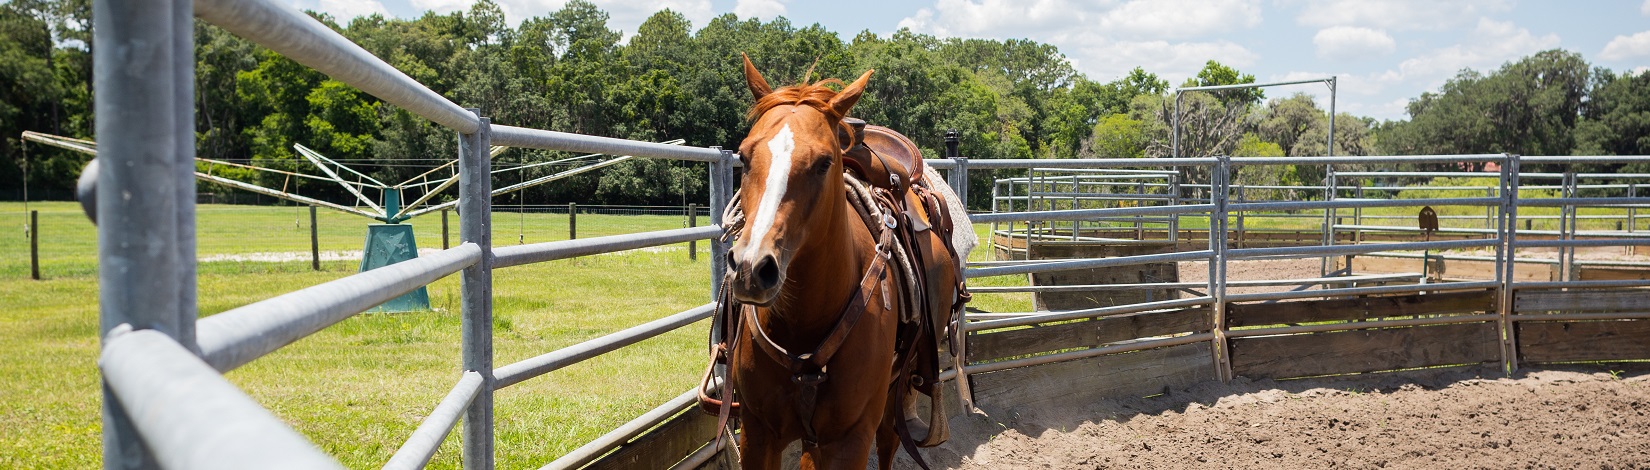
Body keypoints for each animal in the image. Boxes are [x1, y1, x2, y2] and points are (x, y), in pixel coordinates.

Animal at [711, 54, 976, 470]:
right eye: (743, 155)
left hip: (892, 398)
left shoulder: (848, 439)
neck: (803, 327)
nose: (753, 268)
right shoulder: (758, 433)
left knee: (889, 442)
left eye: (824, 162)